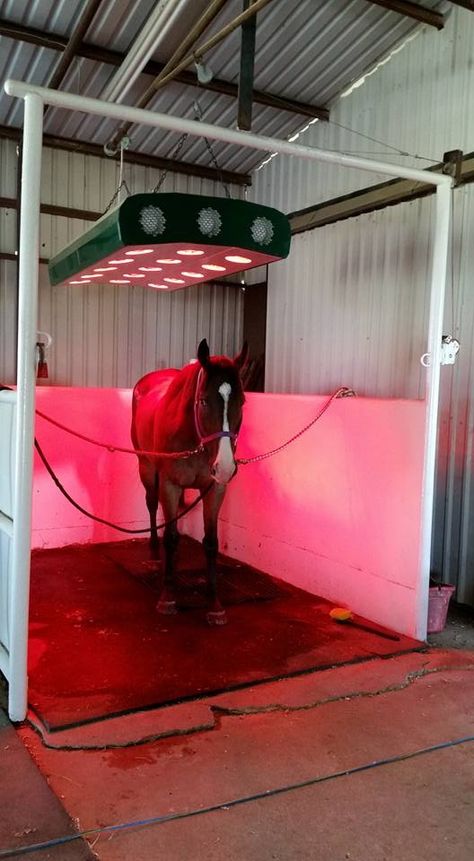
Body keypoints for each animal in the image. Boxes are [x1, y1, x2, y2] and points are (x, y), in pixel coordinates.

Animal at [131, 336, 248, 624]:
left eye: (242, 402)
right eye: (204, 401)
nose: (226, 466)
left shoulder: (215, 488)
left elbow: (211, 542)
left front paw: (214, 603)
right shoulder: (170, 486)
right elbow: (171, 537)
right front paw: (167, 596)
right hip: (146, 468)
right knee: (152, 505)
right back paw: (154, 553)